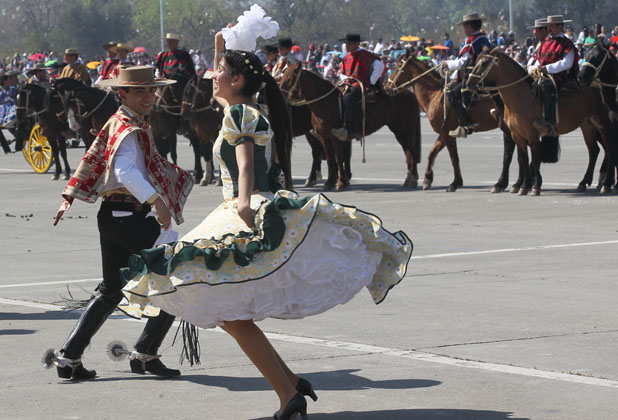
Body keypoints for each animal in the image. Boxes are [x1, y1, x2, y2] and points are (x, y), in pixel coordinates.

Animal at [278, 63, 418, 190]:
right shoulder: (324, 137)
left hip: (407, 128)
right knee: (407, 150)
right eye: (283, 76)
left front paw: (341, 183)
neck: (326, 102)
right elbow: (330, 158)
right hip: (397, 129)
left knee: (411, 149)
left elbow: (339, 158)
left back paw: (412, 179)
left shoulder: (336, 137)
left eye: (290, 78)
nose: (280, 95)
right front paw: (329, 183)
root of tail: (408, 92)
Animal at [380, 51, 520, 194]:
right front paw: (427, 179)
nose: (387, 87)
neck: (434, 95)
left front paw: (455, 183)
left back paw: (505, 184)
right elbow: (432, 153)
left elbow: (454, 158)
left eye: (398, 66)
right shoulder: (444, 133)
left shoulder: (447, 133)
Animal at [466, 48, 616, 196]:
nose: (468, 84)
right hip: (587, 125)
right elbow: (521, 159)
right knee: (594, 150)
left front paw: (534, 186)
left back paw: (607, 183)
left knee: (609, 148)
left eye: (485, 63)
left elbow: (534, 159)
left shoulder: (531, 134)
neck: (521, 98)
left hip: (603, 124)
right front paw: (522, 186)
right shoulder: (516, 135)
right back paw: (585, 182)